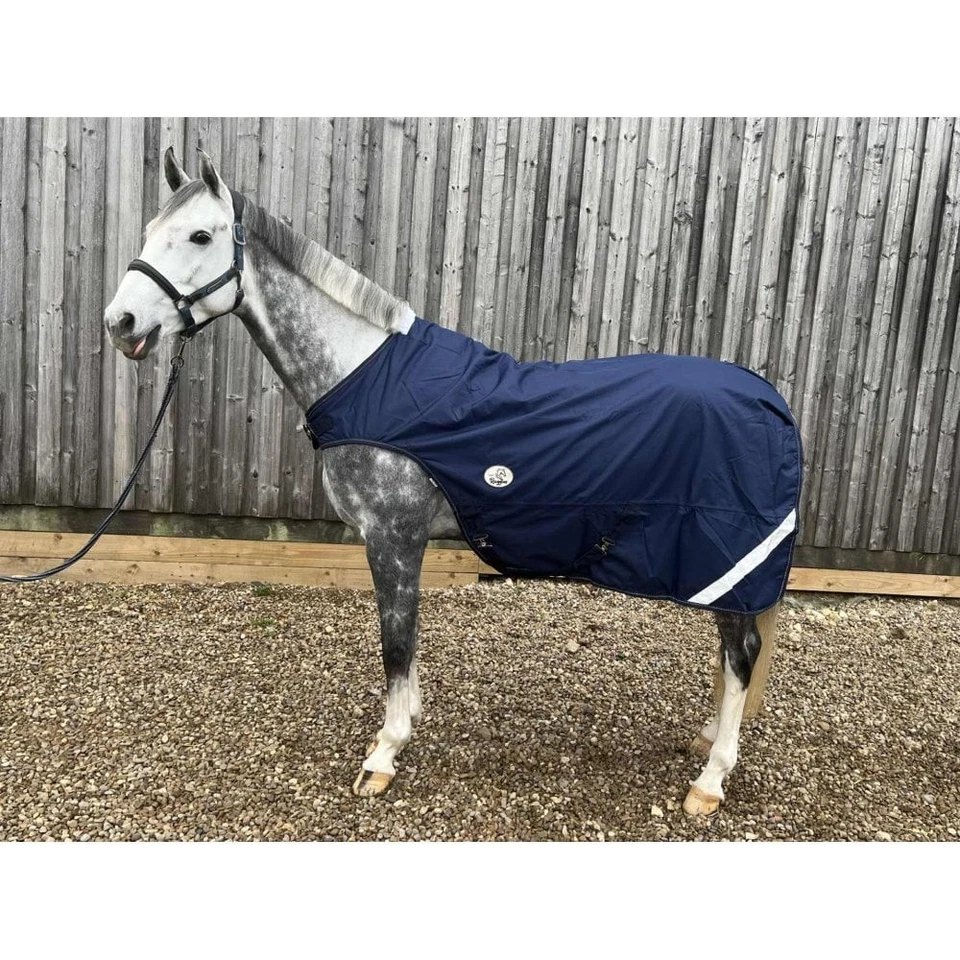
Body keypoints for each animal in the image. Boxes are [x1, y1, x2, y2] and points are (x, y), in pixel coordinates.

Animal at [104, 148, 801, 818]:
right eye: (151, 230)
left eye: (201, 234)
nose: (121, 322)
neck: (365, 377)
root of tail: (770, 401)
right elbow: (406, 646)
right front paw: (402, 724)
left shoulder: (392, 538)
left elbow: (395, 644)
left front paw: (384, 755)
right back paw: (707, 743)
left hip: (722, 560)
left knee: (740, 657)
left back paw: (710, 782)